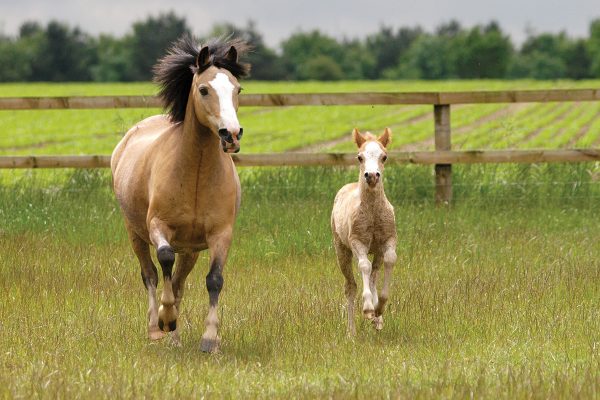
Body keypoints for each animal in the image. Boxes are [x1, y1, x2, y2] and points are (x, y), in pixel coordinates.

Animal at [111, 36, 250, 352]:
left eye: (238, 89)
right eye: (204, 89)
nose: (231, 134)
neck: (195, 175)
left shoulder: (221, 234)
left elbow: (214, 280)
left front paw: (210, 339)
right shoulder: (158, 226)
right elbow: (163, 259)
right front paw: (165, 319)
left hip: (190, 250)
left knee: (178, 283)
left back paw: (174, 338)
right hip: (135, 234)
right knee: (150, 274)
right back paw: (156, 328)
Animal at [330, 128, 396, 334]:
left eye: (384, 156)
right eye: (360, 157)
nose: (372, 176)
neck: (373, 213)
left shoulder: (388, 240)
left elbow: (390, 260)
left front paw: (379, 308)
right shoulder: (357, 242)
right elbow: (364, 266)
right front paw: (367, 308)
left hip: (377, 252)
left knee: (374, 276)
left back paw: (377, 319)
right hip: (341, 250)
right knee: (350, 286)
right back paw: (351, 331)